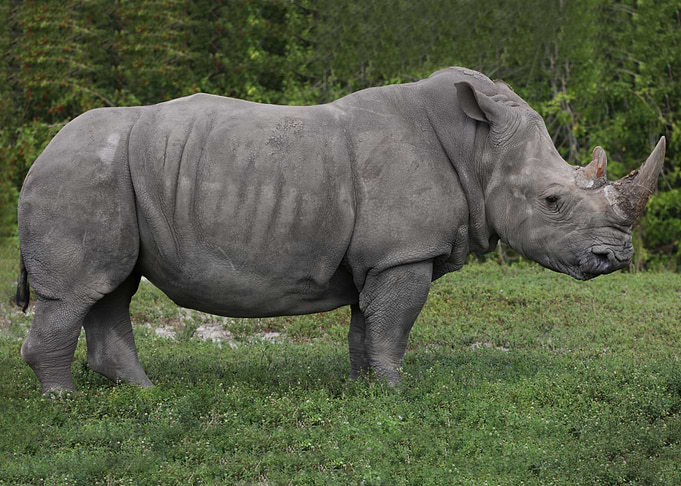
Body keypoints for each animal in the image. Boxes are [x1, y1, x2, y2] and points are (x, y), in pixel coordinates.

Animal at [16, 67, 665, 393]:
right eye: (552, 201)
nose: (616, 258)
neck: (478, 148)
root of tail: (39, 154)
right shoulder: (404, 253)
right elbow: (394, 326)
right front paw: (399, 396)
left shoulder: (380, 255)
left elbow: (368, 325)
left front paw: (363, 389)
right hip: (80, 173)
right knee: (80, 291)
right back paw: (63, 402)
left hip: (107, 178)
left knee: (111, 288)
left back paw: (141, 393)